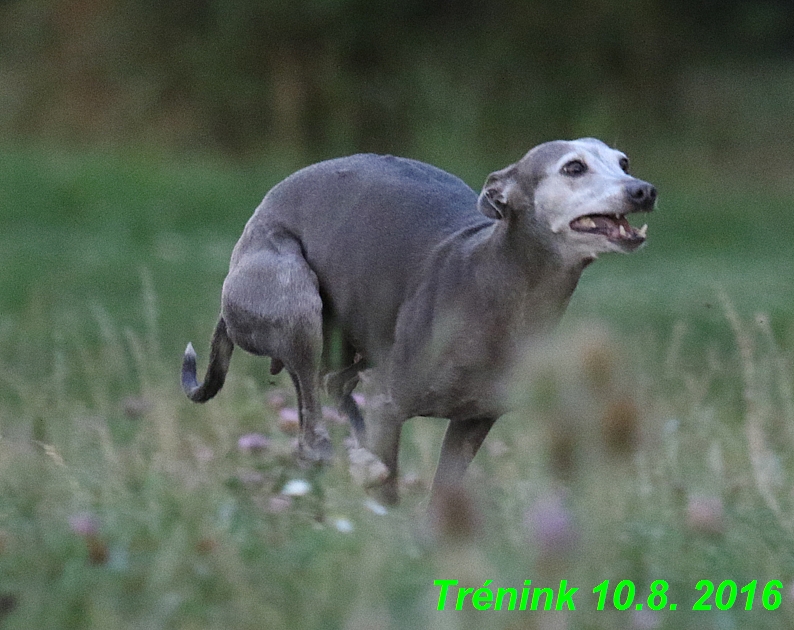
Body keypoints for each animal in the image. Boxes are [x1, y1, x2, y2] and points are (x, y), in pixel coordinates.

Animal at [183, 138, 652, 508]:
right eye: (573, 167)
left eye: (624, 162)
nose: (644, 190)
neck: (500, 282)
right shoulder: (390, 406)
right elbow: (387, 487)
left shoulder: (474, 421)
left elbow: (443, 493)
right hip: (295, 301)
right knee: (313, 437)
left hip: (356, 347)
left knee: (336, 387)